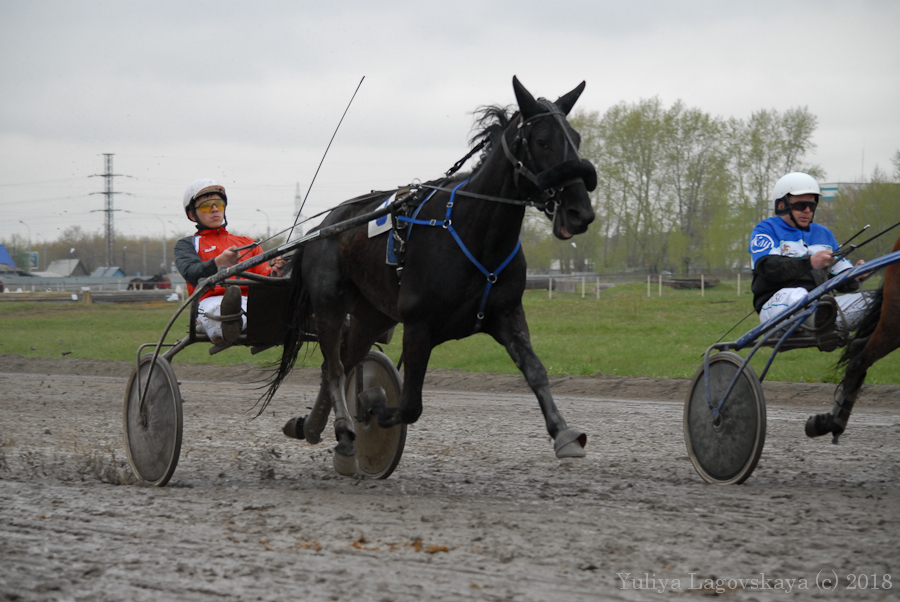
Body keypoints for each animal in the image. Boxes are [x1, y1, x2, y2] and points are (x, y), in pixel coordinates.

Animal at [266, 76, 596, 474]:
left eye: (576, 138)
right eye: (543, 141)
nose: (580, 212)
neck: (472, 230)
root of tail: (322, 227)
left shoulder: (506, 313)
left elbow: (536, 370)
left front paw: (563, 433)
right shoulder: (418, 325)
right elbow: (410, 405)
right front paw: (374, 408)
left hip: (372, 315)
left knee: (345, 360)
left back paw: (312, 427)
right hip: (329, 303)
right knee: (333, 366)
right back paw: (345, 432)